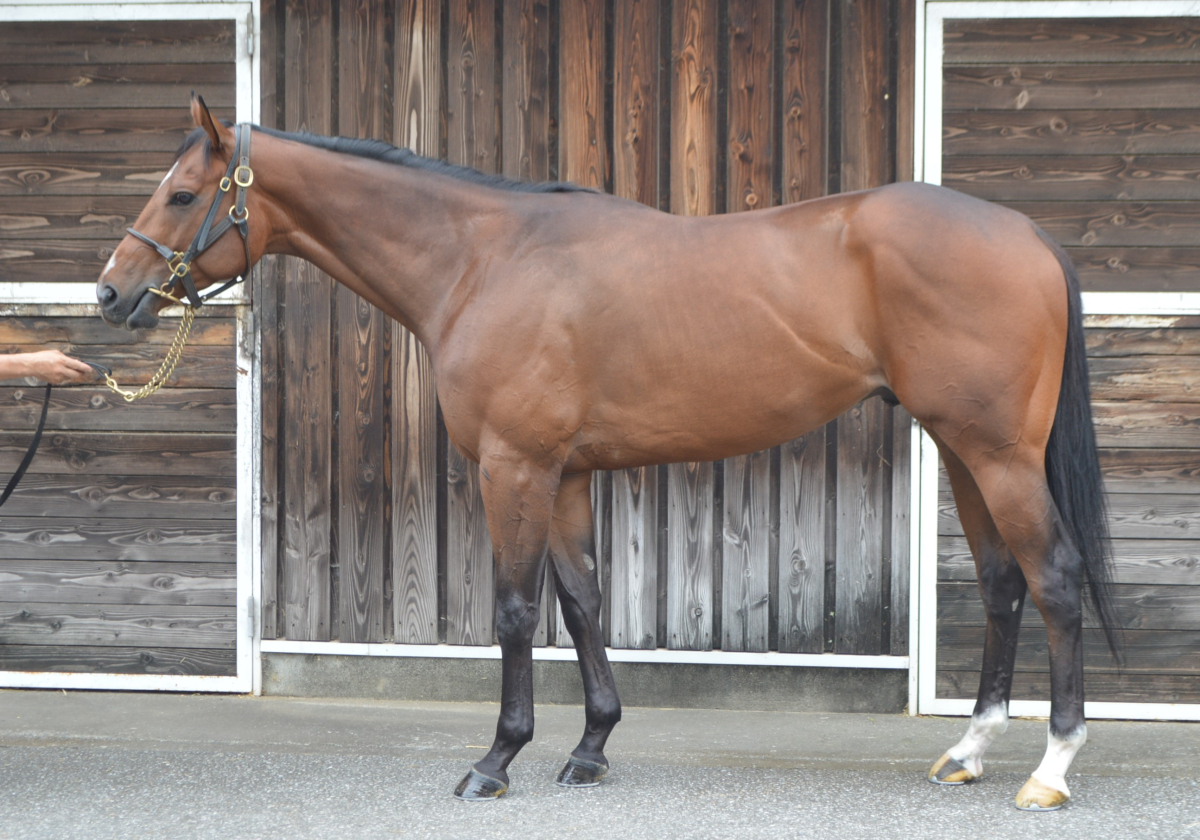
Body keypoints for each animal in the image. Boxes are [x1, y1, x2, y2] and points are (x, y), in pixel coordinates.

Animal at [96, 96, 1120, 811]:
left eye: (181, 195)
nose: (111, 294)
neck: (482, 261)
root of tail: (1025, 232)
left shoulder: (512, 466)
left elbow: (515, 611)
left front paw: (496, 761)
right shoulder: (566, 475)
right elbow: (583, 602)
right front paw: (589, 749)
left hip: (998, 455)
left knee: (1055, 578)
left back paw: (1051, 768)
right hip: (963, 451)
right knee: (1003, 583)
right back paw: (968, 754)